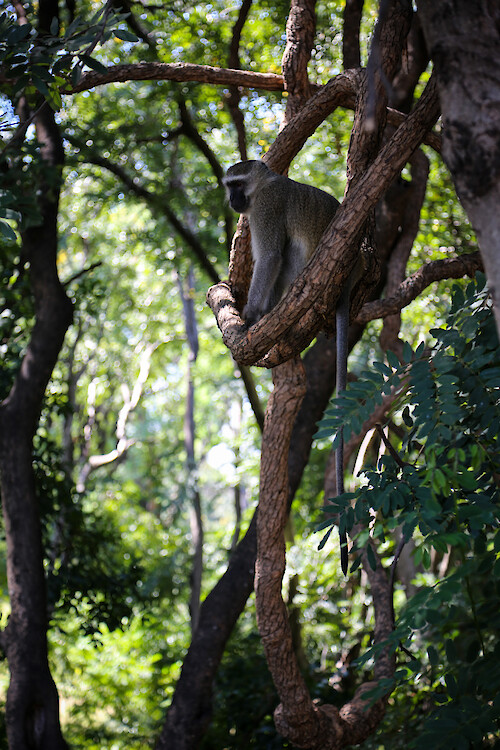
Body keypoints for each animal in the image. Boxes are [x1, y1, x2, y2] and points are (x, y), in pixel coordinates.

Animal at [225, 160, 350, 576]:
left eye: (237, 184)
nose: (231, 200)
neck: (266, 183)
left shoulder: (265, 210)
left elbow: (268, 258)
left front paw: (250, 315)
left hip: (304, 275)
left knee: (286, 253)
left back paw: (269, 313)